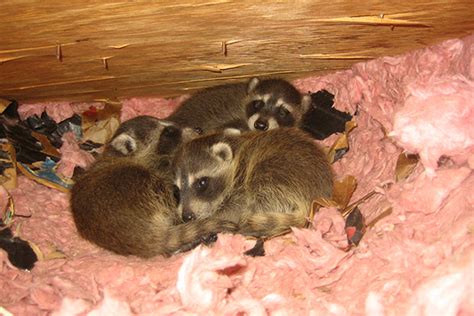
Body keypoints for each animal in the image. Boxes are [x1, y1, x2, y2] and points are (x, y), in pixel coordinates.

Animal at [173, 127, 334, 238]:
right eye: (176, 191)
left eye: (202, 183)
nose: (186, 217)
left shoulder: (241, 189)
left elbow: (233, 212)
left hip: (275, 177)